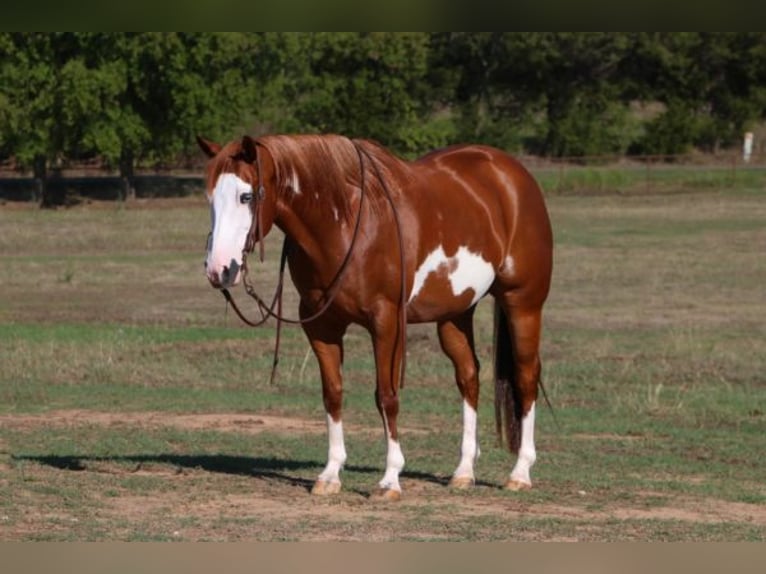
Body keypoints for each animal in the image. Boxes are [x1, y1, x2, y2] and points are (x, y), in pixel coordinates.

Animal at [198, 133, 556, 502]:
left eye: (246, 196)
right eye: (210, 197)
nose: (219, 269)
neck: (343, 223)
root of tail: (512, 174)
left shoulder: (386, 322)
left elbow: (386, 396)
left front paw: (390, 480)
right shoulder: (320, 324)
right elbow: (333, 393)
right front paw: (330, 475)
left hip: (522, 303)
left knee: (526, 377)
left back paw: (520, 472)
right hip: (456, 314)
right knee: (469, 377)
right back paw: (463, 472)